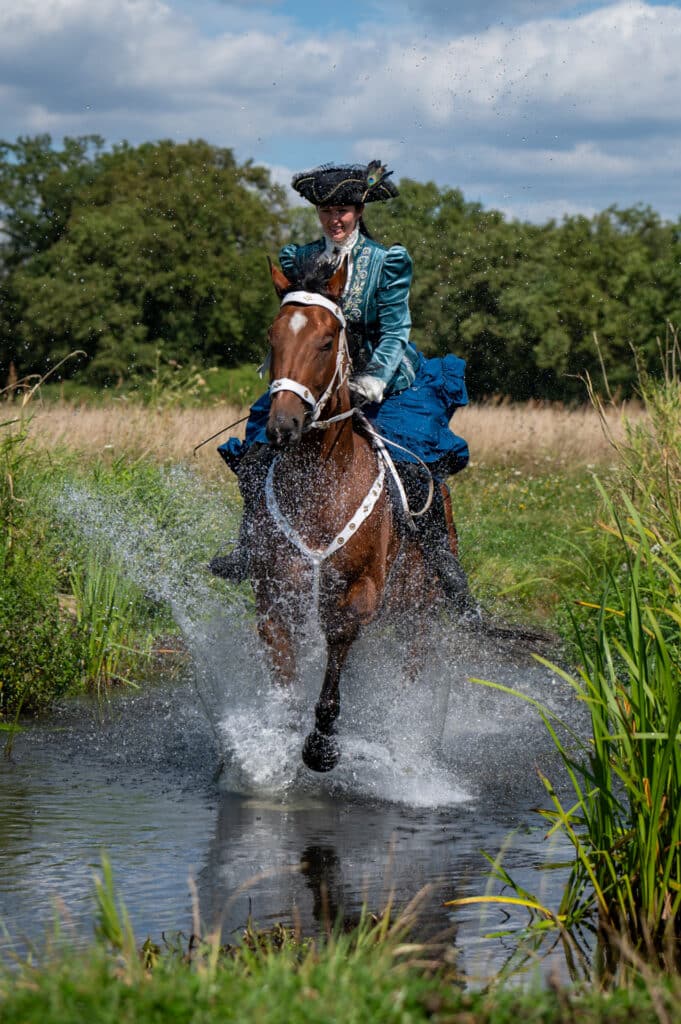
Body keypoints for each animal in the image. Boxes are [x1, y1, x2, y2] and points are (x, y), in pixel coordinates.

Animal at [245, 256, 430, 770]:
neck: (320, 486)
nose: (283, 426)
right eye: (272, 337)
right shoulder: (273, 595)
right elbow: (283, 673)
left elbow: (340, 636)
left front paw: (322, 742)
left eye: (327, 342)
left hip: (418, 612)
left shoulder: (362, 592)